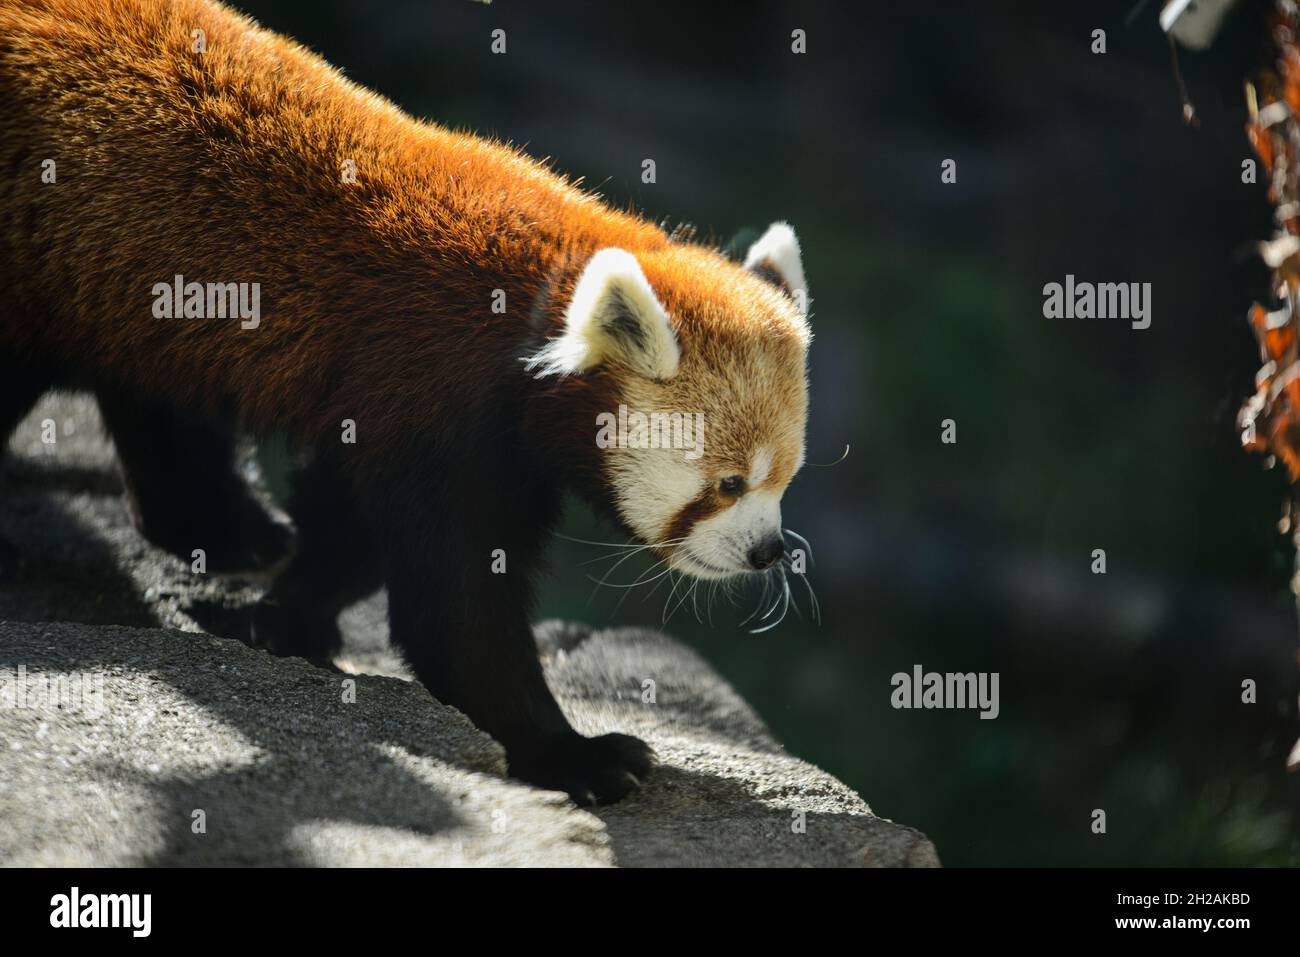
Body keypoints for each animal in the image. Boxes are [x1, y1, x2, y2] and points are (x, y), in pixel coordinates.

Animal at [0, 0, 806, 806]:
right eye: (728, 483)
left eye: (783, 482)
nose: (769, 552)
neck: (542, 298)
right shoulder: (434, 393)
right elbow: (454, 607)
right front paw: (572, 753)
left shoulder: (408, 413)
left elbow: (352, 528)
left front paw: (290, 618)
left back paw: (228, 530)